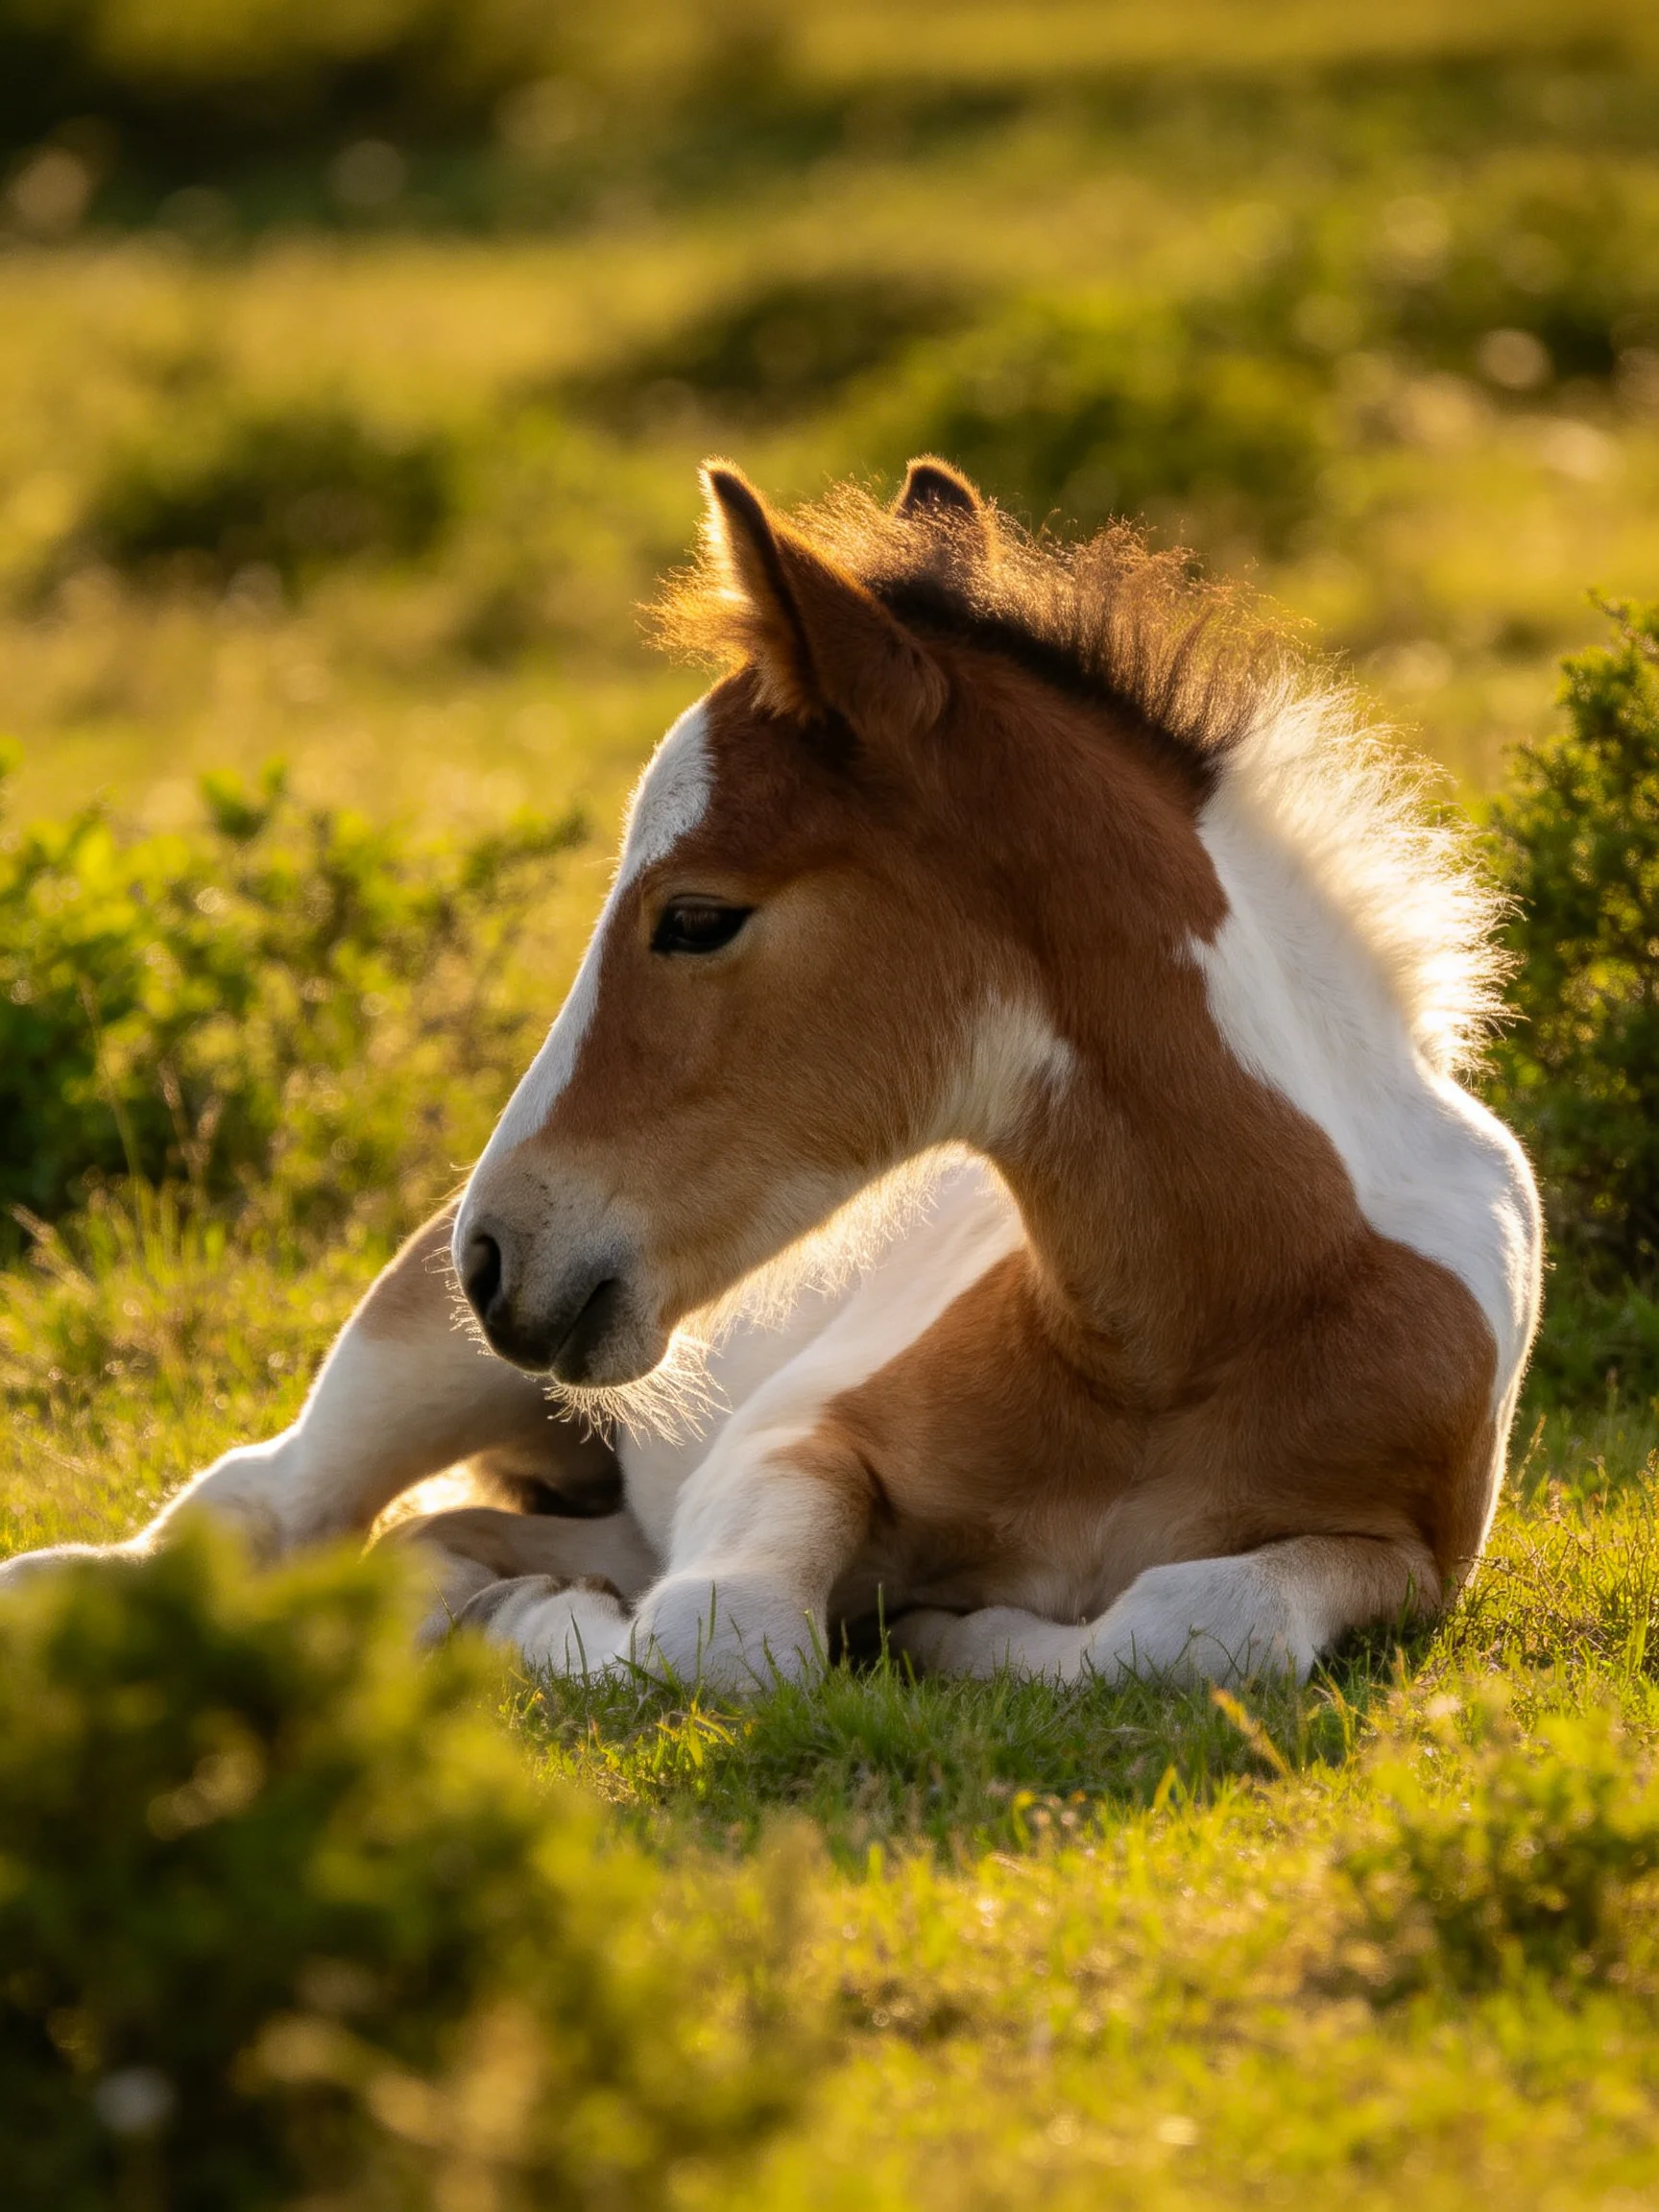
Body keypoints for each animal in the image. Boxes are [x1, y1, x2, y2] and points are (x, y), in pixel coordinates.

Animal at [0, 458, 1541, 1694]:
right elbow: (722, 1635)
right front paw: (550, 1627)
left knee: (445, 1529)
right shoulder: (793, 1436)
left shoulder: (1406, 1558)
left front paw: (961, 1635)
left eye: (695, 917)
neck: (1193, 1327)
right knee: (269, 1504)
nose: (496, 1256)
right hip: (417, 1356)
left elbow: (1196, 1624)